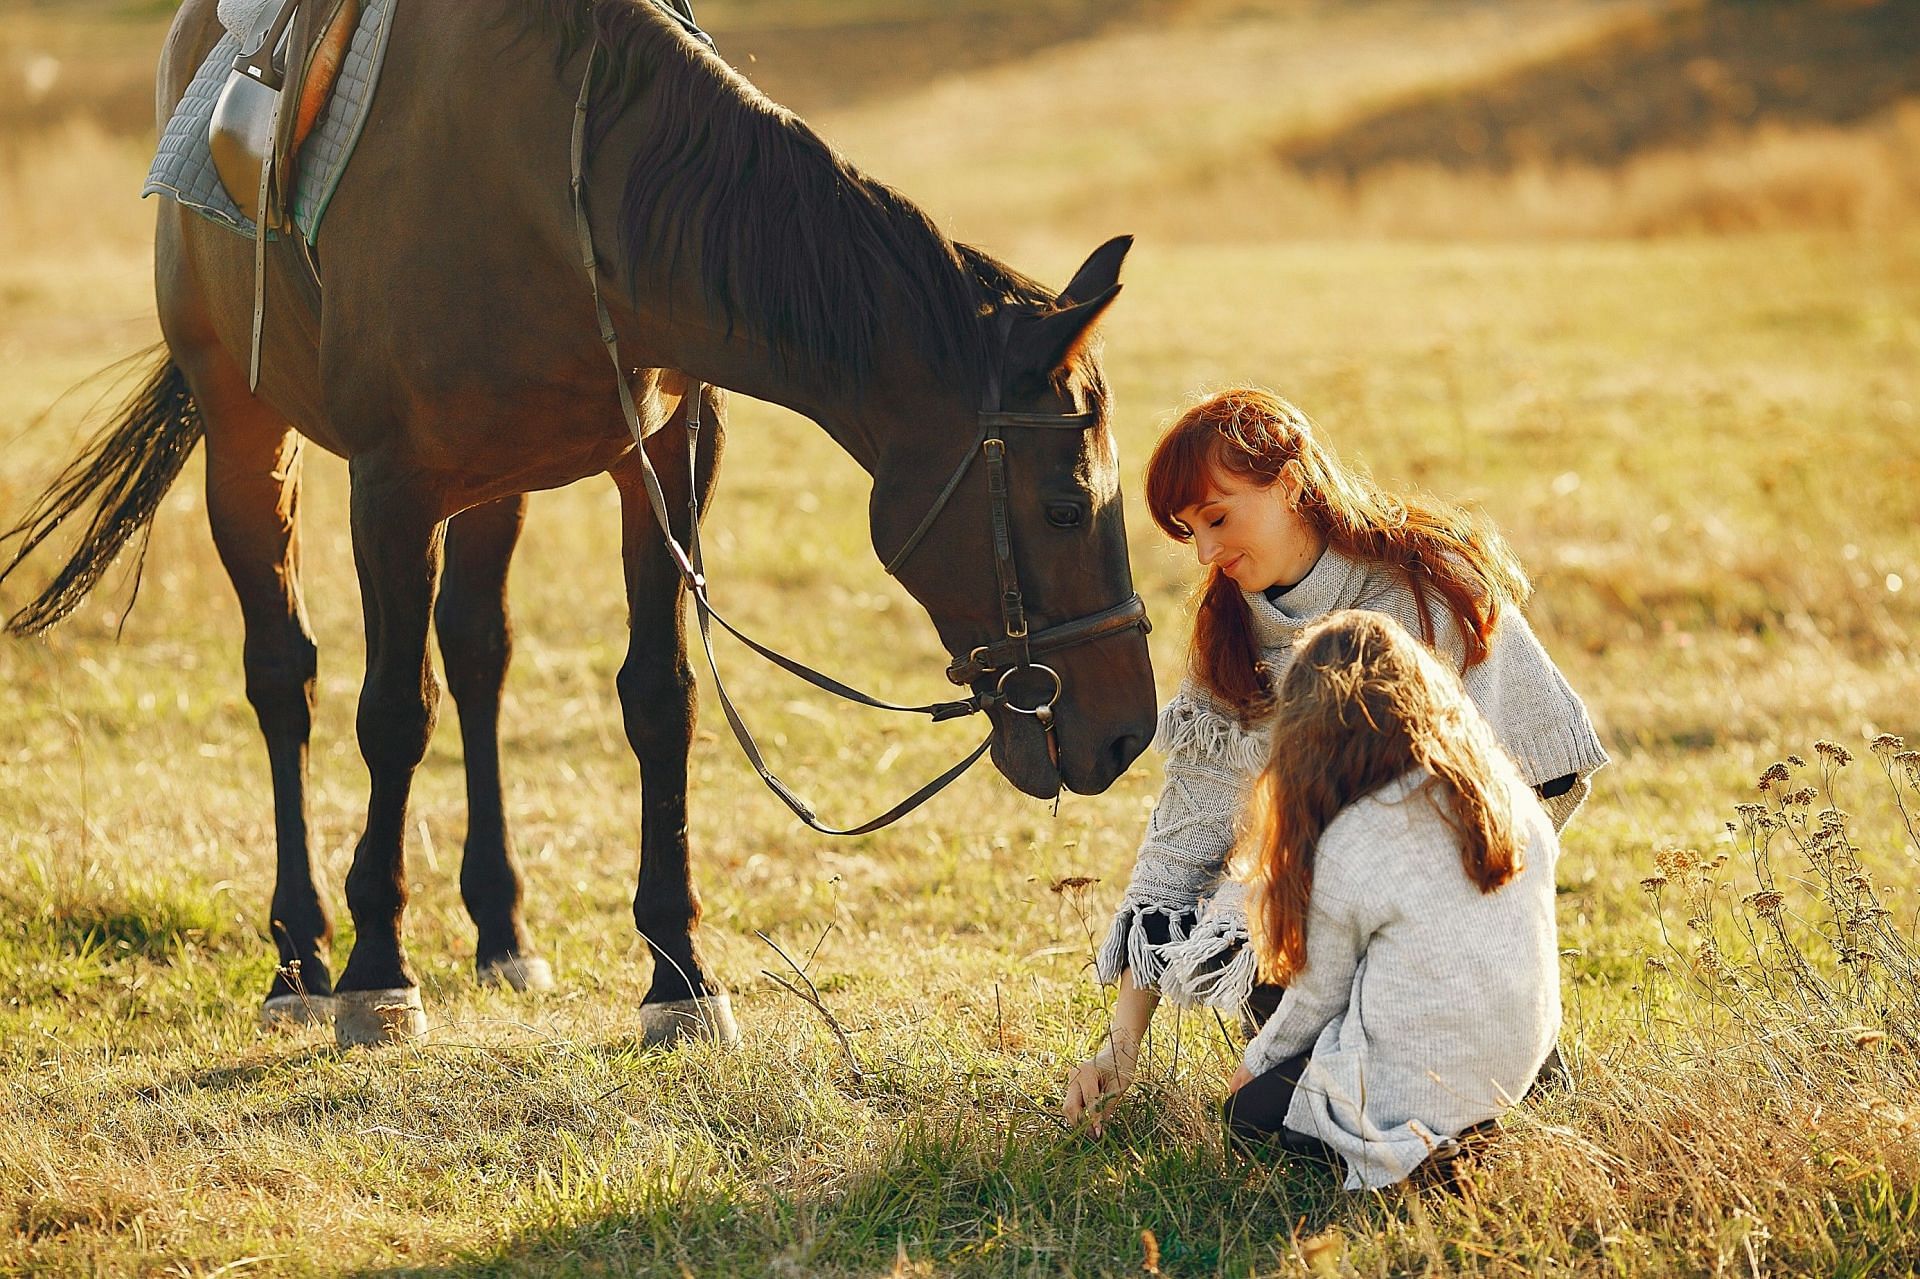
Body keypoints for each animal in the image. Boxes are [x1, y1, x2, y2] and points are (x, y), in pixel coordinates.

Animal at [0, 0, 1152, 1044]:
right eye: (1065, 504)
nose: (1127, 731)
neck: (563, 191)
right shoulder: (392, 486)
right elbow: (393, 712)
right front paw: (379, 972)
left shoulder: (667, 465)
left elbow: (658, 699)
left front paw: (680, 973)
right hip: (248, 435)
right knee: (287, 677)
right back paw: (300, 962)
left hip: (490, 486)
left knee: (477, 656)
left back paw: (501, 932)